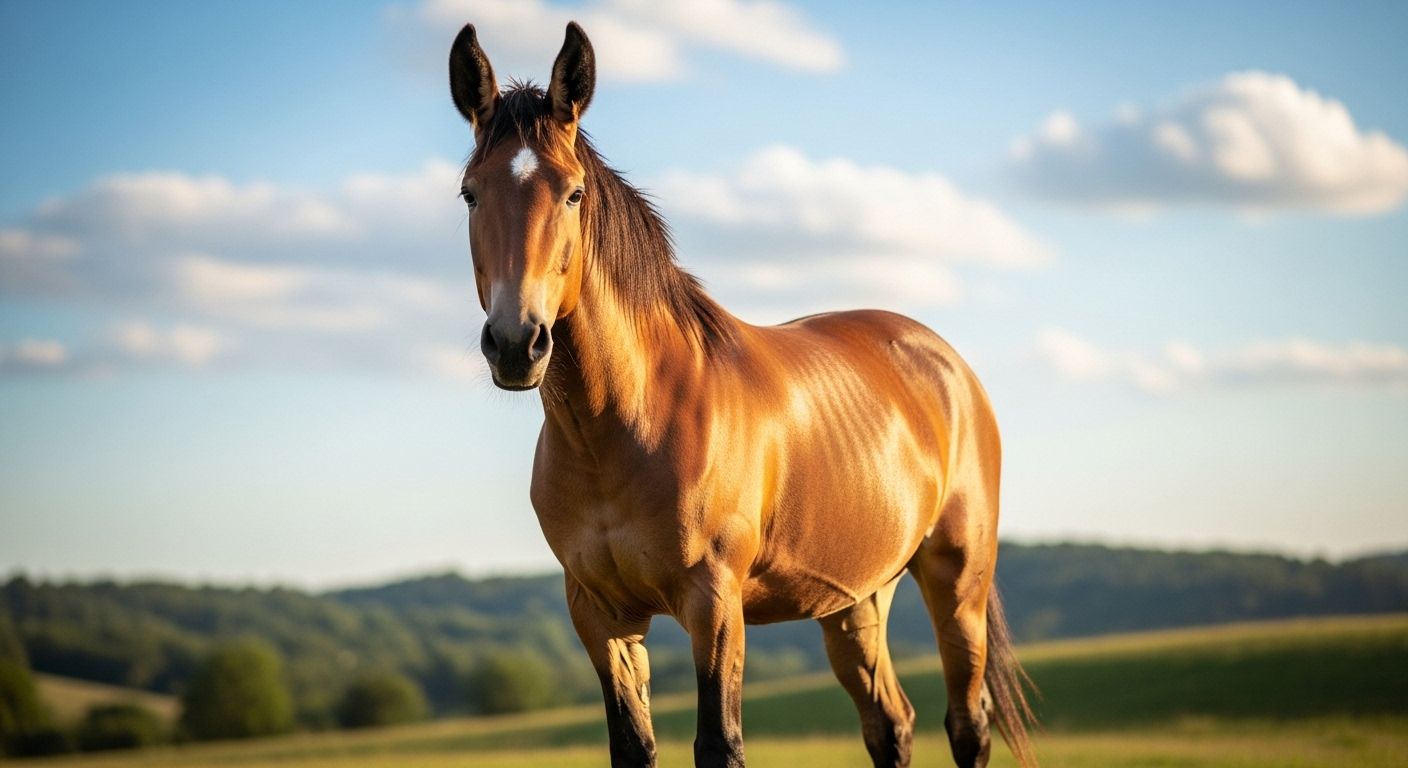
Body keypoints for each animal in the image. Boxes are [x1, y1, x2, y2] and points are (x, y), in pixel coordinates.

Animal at [446, 22, 1037, 768]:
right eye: (470, 193)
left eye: (573, 192)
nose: (517, 342)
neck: (626, 423)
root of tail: (945, 363)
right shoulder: (599, 615)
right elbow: (632, 745)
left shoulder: (714, 603)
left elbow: (719, 743)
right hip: (855, 600)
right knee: (891, 722)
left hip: (956, 580)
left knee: (966, 723)